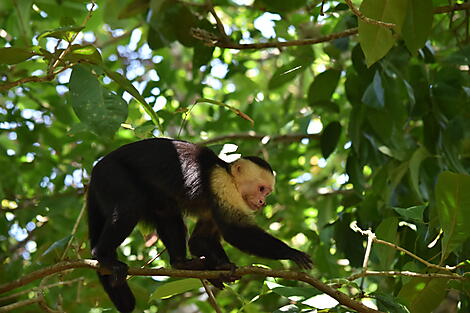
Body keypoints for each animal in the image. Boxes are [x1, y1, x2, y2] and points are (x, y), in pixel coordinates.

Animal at [87, 138, 316, 310]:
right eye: (261, 189)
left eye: (266, 192)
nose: (262, 202)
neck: (227, 173)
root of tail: (97, 167)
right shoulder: (222, 184)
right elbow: (234, 230)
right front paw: (291, 252)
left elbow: (200, 240)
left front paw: (219, 266)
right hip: (112, 174)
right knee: (130, 205)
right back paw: (103, 256)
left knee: (166, 211)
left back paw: (182, 263)